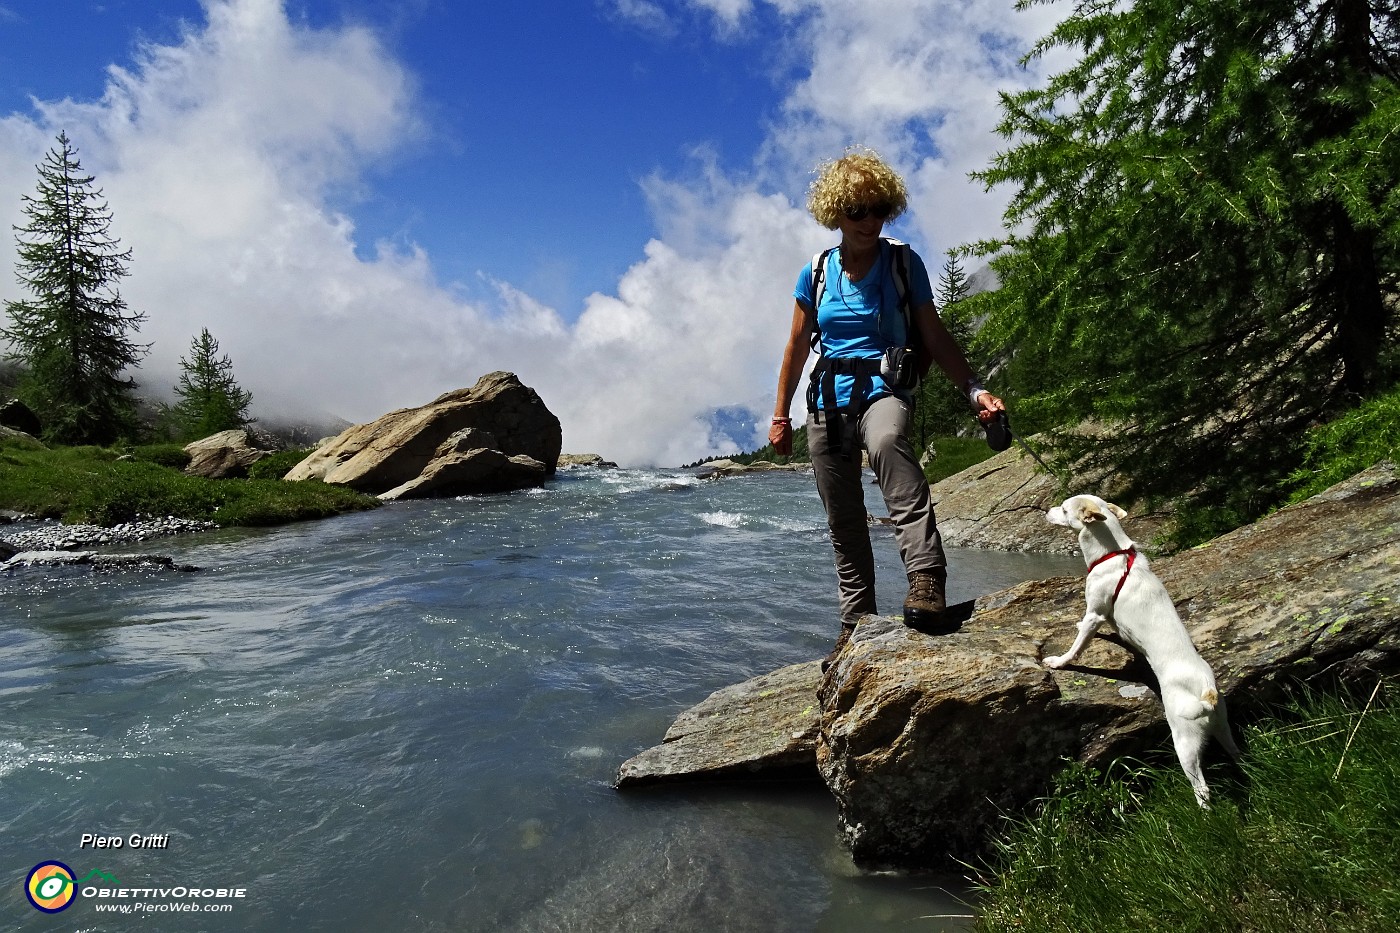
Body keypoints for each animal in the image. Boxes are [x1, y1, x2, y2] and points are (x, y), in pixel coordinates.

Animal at [1047, 490, 1243, 801]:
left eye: (1064, 510)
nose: (1046, 511)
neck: (1112, 554)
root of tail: (1207, 692)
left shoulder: (1095, 614)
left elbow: (1078, 644)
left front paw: (1059, 661)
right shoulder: (1107, 618)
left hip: (1184, 741)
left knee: (1201, 789)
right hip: (1222, 726)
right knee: (1237, 754)